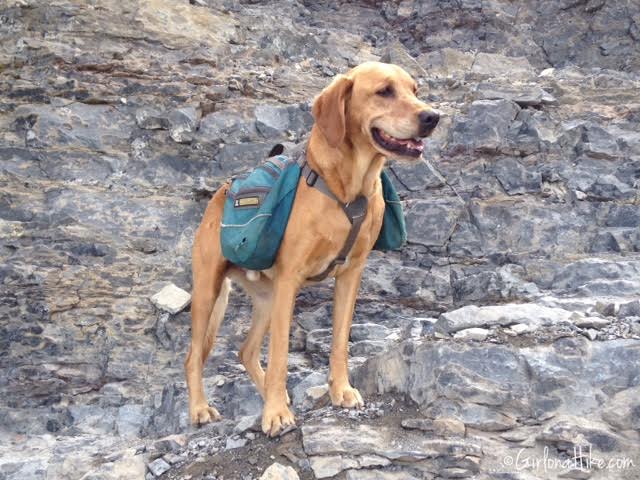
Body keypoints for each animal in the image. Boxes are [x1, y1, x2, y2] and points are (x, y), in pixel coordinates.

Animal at [182, 62, 438, 436]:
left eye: (415, 90)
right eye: (384, 91)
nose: (432, 116)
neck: (348, 187)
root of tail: (218, 196)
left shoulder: (350, 274)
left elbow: (339, 342)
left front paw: (340, 390)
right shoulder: (291, 279)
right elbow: (280, 354)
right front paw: (275, 414)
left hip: (267, 298)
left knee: (246, 351)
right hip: (209, 291)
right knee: (194, 355)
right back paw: (201, 408)